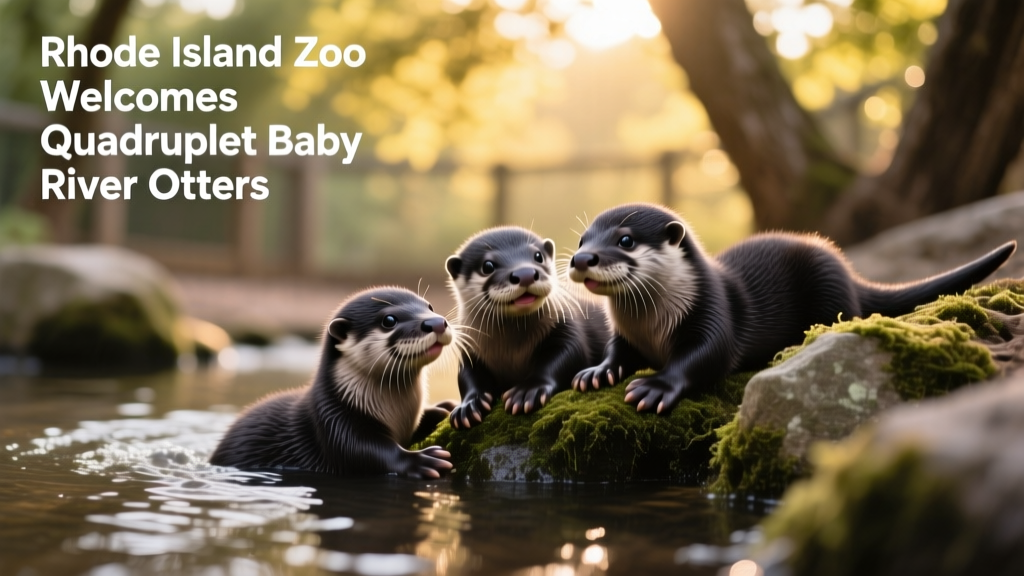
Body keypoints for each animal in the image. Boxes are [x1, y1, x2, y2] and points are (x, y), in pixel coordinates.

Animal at [209, 287, 456, 478]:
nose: (436, 322)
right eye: (389, 320)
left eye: (430, 306)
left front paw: (441, 409)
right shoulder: (334, 423)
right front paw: (421, 460)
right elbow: (365, 454)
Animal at [446, 226, 608, 428]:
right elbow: (466, 376)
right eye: (487, 266)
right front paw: (468, 406)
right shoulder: (470, 350)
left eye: (538, 256)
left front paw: (528, 391)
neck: (511, 351)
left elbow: (568, 355)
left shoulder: (566, 328)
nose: (525, 273)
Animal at [568, 202, 1016, 413]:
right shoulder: (626, 334)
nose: (581, 259)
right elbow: (617, 350)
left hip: (829, 288)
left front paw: (656, 386)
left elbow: (707, 356)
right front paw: (597, 372)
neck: (651, 327)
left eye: (625, 240)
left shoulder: (712, 312)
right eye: (582, 240)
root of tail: (848, 271)